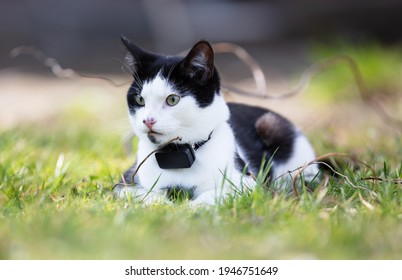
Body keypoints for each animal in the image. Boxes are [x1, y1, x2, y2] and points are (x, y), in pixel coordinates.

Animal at [112, 36, 318, 205]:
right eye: (140, 99)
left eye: (172, 99)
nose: (148, 121)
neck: (177, 155)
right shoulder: (125, 184)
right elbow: (147, 195)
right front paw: (167, 205)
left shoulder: (248, 184)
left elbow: (214, 195)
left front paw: (189, 208)